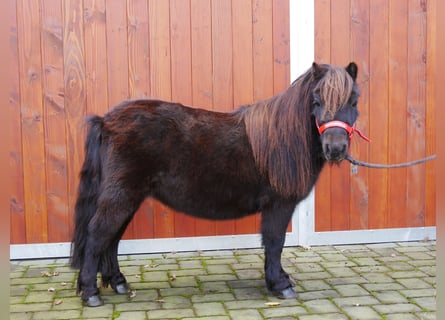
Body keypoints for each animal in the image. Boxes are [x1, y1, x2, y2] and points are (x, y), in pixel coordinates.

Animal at [70, 61, 360, 306]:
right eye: (316, 100)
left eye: (354, 100)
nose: (335, 148)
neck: (280, 139)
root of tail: (105, 121)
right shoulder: (279, 205)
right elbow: (275, 241)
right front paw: (280, 284)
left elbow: (271, 244)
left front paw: (276, 280)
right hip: (120, 197)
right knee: (98, 235)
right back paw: (91, 293)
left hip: (128, 199)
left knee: (112, 238)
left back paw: (118, 283)